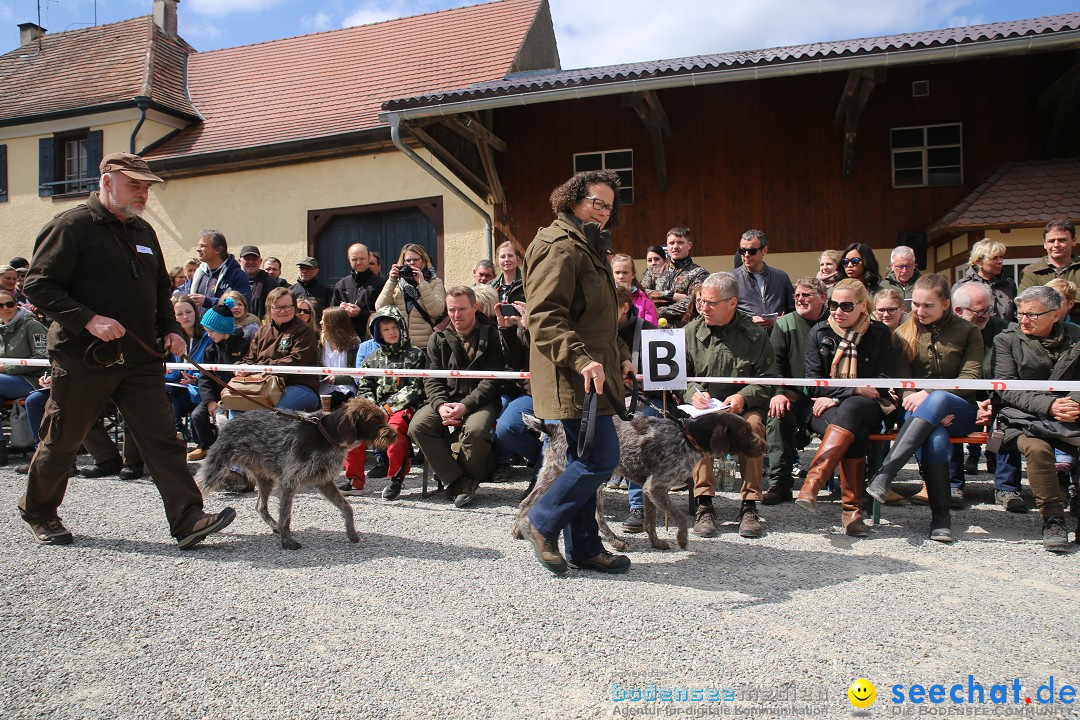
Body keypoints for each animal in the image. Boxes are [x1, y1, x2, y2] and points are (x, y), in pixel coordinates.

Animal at [195, 397, 397, 548]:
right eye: (373, 420)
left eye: (383, 417)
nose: (394, 435)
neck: (327, 436)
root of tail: (228, 422)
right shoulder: (289, 482)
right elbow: (286, 516)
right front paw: (287, 541)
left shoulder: (324, 482)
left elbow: (347, 507)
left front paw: (351, 533)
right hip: (215, 470)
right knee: (198, 487)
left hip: (265, 479)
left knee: (260, 506)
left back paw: (273, 525)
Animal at [509, 410, 764, 552]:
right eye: (745, 431)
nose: (764, 446)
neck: (687, 437)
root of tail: (553, 427)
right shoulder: (656, 486)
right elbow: (680, 518)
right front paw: (682, 539)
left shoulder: (649, 490)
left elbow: (650, 521)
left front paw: (657, 543)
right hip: (593, 481)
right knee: (597, 517)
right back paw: (615, 543)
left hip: (553, 473)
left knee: (526, 502)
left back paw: (518, 530)